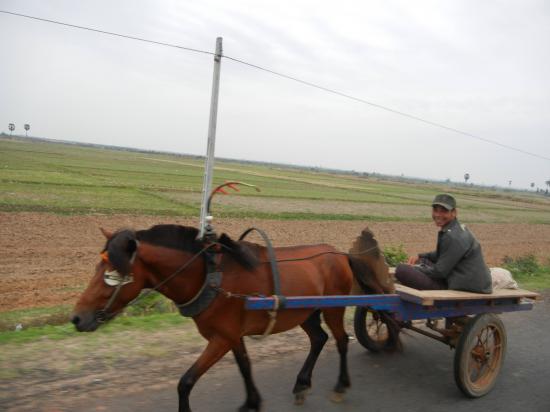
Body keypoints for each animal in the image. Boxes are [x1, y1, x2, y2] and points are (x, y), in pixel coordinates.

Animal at [72, 225, 396, 412]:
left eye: (112, 275)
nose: (77, 318)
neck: (210, 276)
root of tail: (339, 253)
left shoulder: (221, 338)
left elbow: (186, 382)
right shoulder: (231, 335)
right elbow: (244, 366)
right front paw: (252, 402)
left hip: (332, 308)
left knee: (340, 340)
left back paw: (341, 385)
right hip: (305, 311)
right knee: (319, 339)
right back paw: (301, 385)